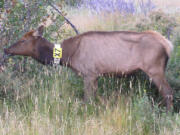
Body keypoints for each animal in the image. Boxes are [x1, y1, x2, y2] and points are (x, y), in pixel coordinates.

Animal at [3, 25, 173, 110]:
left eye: (23, 40)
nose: (6, 49)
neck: (68, 55)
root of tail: (167, 44)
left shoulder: (89, 73)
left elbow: (87, 98)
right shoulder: (95, 75)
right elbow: (95, 98)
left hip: (155, 69)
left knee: (168, 92)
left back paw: (166, 114)